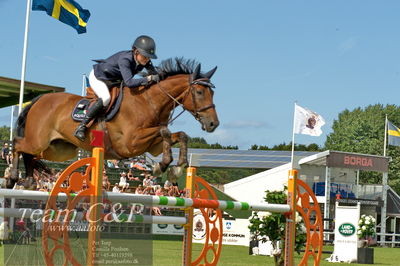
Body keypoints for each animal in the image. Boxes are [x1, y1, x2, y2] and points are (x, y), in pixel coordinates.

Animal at [9, 57, 220, 189]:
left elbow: (180, 135)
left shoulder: (153, 146)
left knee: (31, 155)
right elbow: (164, 130)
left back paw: (28, 180)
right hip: (38, 141)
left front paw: (176, 168)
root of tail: (39, 99)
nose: (213, 124)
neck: (149, 102)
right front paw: (162, 166)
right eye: (199, 92)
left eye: (212, 92)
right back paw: (12, 178)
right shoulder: (130, 144)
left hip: (58, 149)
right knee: (18, 145)